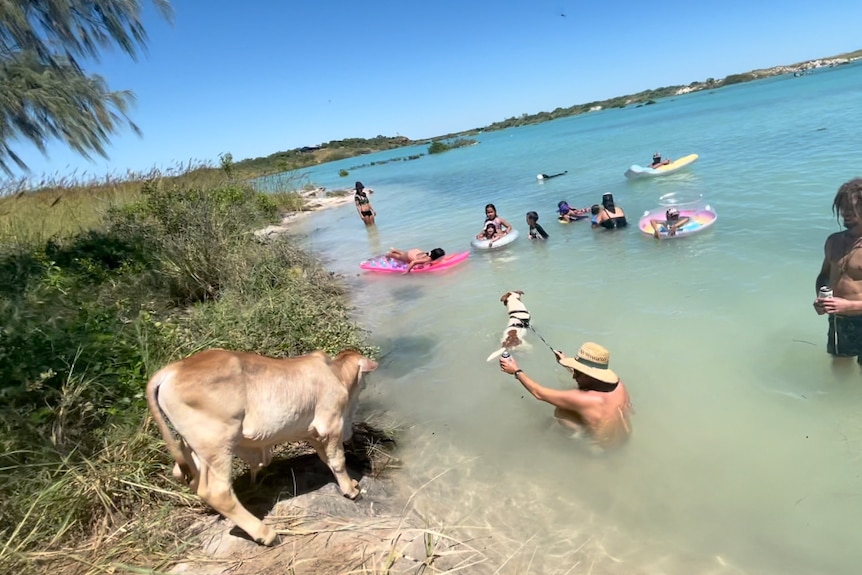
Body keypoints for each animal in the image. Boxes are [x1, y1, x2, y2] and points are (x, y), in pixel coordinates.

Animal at [148, 348, 378, 548]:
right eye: (362, 385)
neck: (334, 372)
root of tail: (172, 369)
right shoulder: (330, 425)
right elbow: (338, 460)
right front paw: (351, 490)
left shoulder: (311, 432)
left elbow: (326, 458)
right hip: (218, 444)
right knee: (217, 491)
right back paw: (266, 534)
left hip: (193, 447)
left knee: (183, 474)